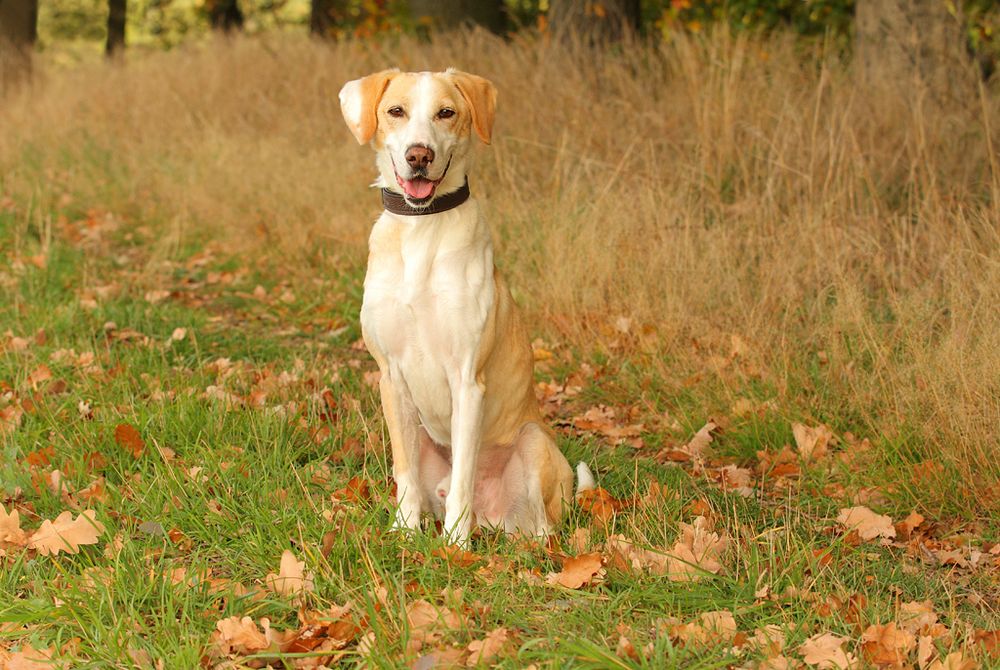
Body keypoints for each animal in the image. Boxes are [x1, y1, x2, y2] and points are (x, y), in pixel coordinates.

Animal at [340, 69, 588, 544]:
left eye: (446, 112)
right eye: (396, 111)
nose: (420, 155)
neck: (420, 227)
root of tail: (494, 519)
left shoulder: (467, 381)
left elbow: (463, 478)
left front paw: (454, 545)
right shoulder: (391, 378)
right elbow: (404, 475)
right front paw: (405, 532)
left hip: (534, 441)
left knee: (541, 525)